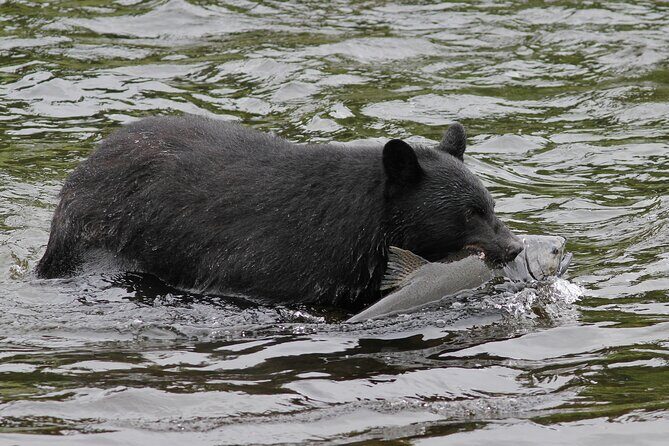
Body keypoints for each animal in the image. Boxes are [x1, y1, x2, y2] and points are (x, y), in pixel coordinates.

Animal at [36, 115, 523, 311]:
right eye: (468, 213)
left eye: (490, 205)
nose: (516, 247)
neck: (364, 228)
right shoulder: (278, 261)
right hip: (95, 235)